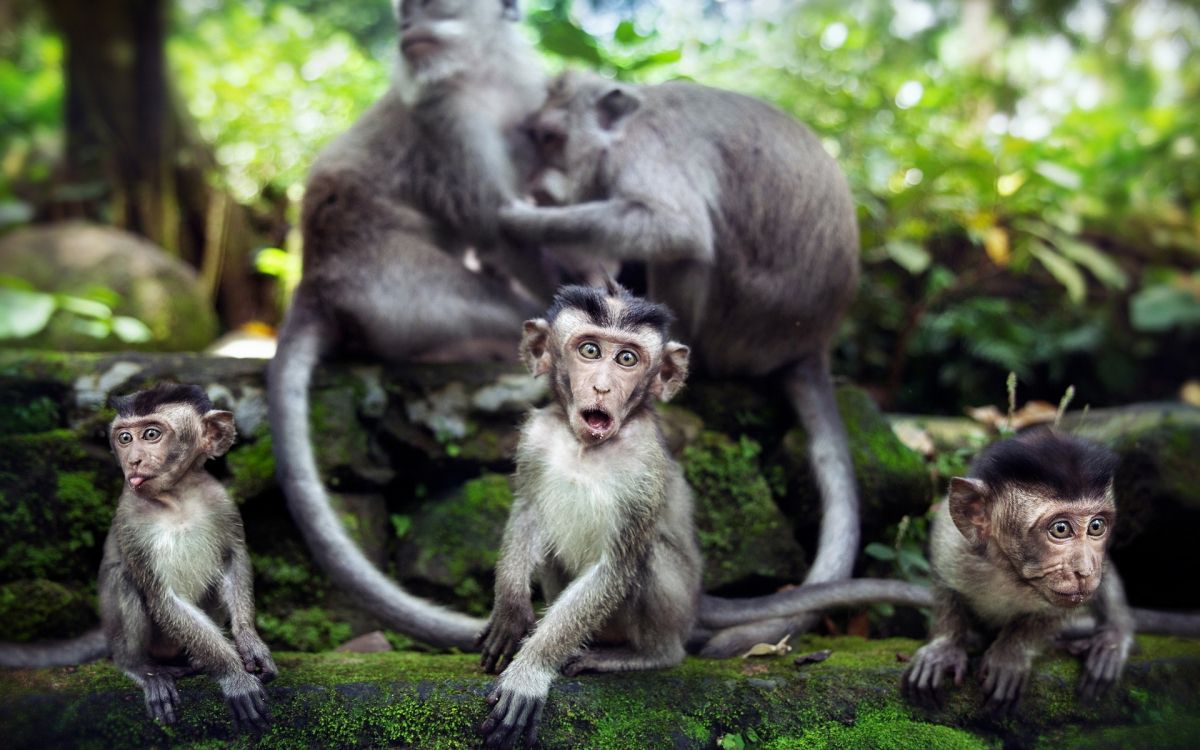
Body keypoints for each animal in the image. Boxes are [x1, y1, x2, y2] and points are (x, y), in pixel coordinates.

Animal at [0, 384, 277, 729]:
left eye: (151, 434)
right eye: (125, 438)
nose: (133, 460)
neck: (177, 498)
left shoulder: (221, 501)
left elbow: (233, 561)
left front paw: (250, 643)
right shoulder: (131, 518)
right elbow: (161, 596)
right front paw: (233, 675)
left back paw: (196, 661)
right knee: (125, 580)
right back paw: (140, 668)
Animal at [268, 0, 554, 648]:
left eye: (433, 7)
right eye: (405, 12)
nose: (407, 26)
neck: (481, 73)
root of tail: (315, 279)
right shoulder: (445, 119)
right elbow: (498, 222)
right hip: (399, 289)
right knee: (491, 305)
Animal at [498, 70, 862, 656]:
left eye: (551, 137)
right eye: (536, 136)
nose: (539, 183)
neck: (624, 126)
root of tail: (813, 342)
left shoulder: (647, 151)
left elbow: (674, 227)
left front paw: (526, 219)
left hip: (741, 330)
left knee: (687, 253)